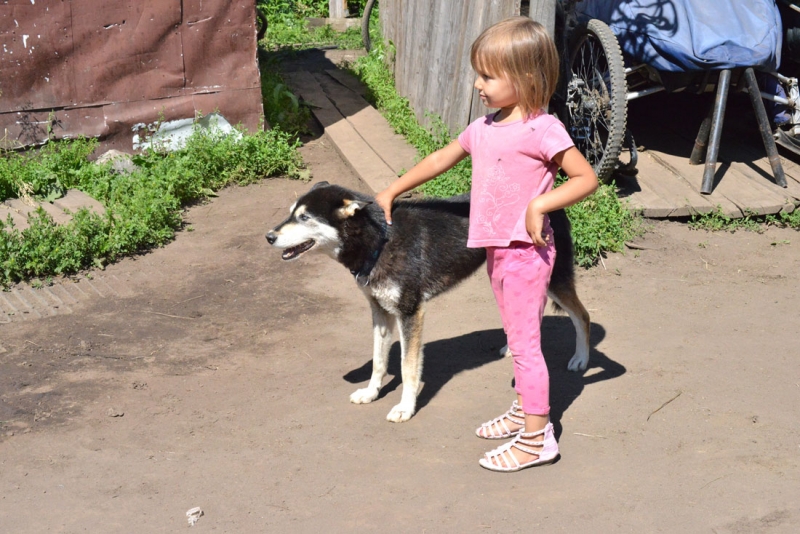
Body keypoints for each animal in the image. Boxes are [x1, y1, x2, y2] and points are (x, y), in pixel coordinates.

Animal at [266, 183, 592, 422]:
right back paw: (514, 347)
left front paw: (405, 408)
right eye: (291, 213)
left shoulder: (410, 313)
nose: (269, 236)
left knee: (583, 316)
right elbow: (379, 361)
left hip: (555, 280)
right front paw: (371, 392)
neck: (379, 240)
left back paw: (581, 359)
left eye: (305, 218)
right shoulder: (380, 313)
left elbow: (408, 368)